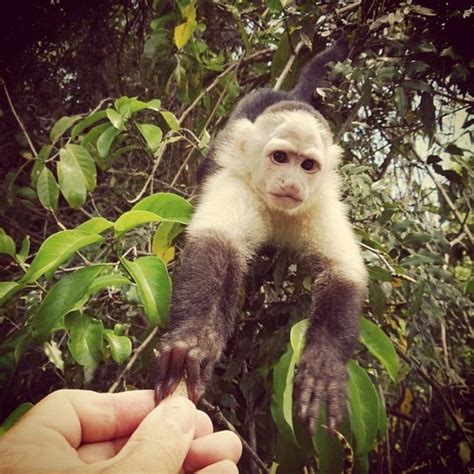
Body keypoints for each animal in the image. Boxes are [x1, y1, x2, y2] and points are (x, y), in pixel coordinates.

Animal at [154, 39, 368, 436]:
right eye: (280, 157)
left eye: (307, 165)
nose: (291, 183)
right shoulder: (238, 184)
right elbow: (217, 245)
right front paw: (196, 341)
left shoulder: (320, 201)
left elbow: (343, 271)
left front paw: (324, 359)